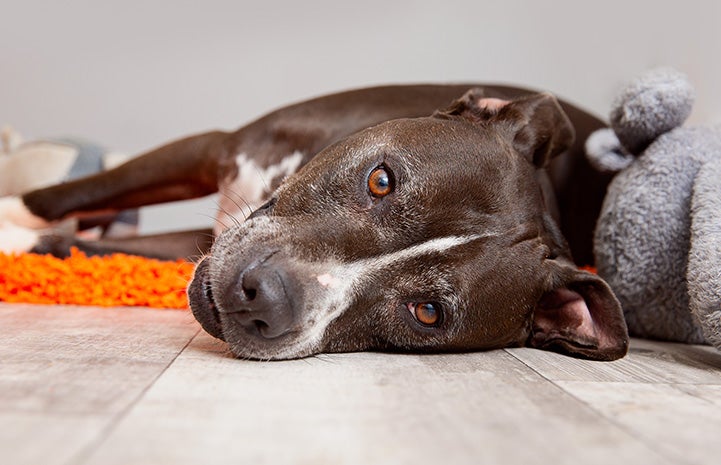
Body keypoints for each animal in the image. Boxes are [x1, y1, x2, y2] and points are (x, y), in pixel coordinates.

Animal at [0, 82, 628, 358]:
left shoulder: (203, 241)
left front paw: (26, 244)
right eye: (381, 179)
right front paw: (15, 215)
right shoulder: (215, 148)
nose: (263, 296)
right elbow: (60, 195)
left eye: (427, 313)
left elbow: (68, 244)